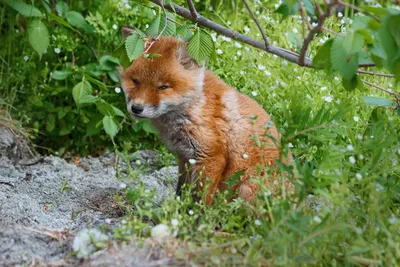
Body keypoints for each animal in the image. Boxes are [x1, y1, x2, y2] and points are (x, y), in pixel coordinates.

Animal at [119, 33, 290, 205]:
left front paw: (194, 212)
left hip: (249, 186)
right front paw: (178, 208)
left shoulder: (212, 156)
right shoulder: (185, 157)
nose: (136, 108)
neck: (193, 107)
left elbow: (201, 199)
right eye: (135, 81)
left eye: (163, 87)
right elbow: (181, 190)